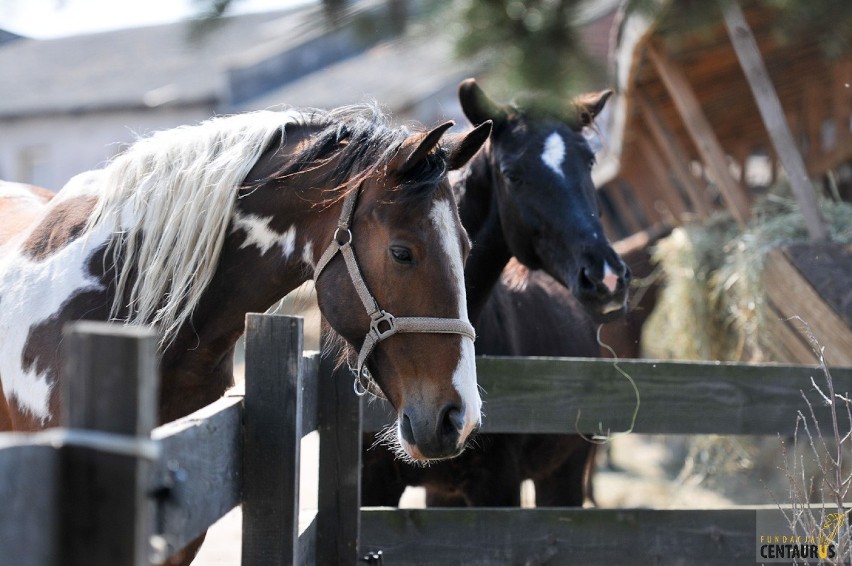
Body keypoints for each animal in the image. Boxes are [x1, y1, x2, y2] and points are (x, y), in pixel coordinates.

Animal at [362, 79, 628, 506]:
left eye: (589, 161)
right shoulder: (372, 483)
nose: (606, 278)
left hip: (562, 476)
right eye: (512, 174)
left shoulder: (497, 486)